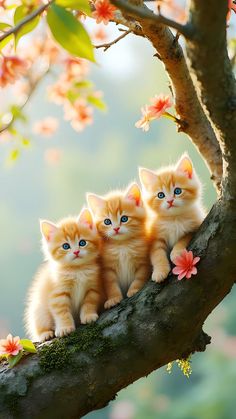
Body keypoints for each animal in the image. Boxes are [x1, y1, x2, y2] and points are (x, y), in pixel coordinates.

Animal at [24, 210, 104, 344]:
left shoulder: (93, 288)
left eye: (82, 243)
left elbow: (89, 302)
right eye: (66, 246)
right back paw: (45, 334)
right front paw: (65, 328)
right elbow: (62, 312)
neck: (77, 270)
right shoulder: (58, 294)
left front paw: (88, 315)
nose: (76, 252)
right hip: (39, 311)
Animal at [139, 156, 206, 284]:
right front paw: (160, 272)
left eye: (177, 191)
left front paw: (177, 254)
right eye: (160, 195)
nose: (170, 201)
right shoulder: (155, 237)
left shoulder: (195, 226)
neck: (174, 219)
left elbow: (184, 238)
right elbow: (157, 254)